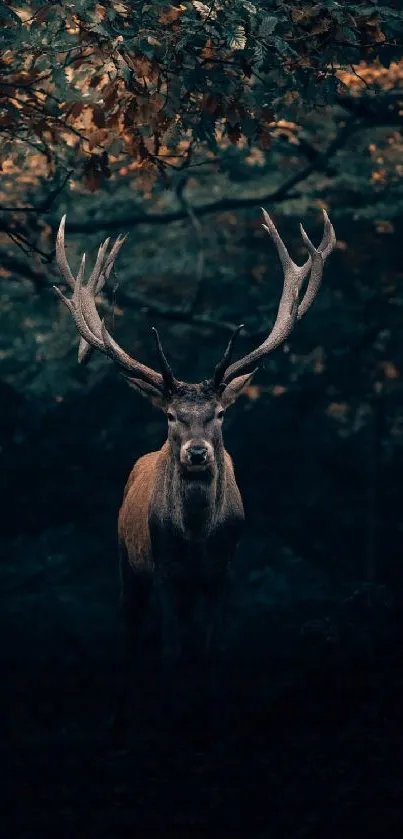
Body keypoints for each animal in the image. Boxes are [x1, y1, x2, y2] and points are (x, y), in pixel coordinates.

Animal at [53, 207, 338, 684]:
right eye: (171, 416)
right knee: (133, 635)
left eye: (219, 413)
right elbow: (171, 653)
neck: (198, 538)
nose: (198, 452)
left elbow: (212, 651)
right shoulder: (165, 570)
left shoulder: (223, 571)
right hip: (128, 563)